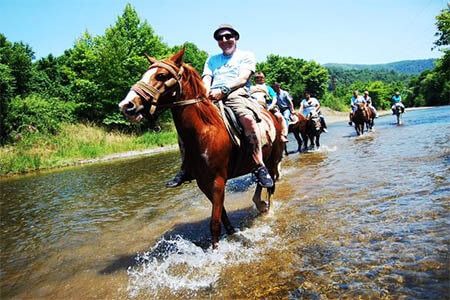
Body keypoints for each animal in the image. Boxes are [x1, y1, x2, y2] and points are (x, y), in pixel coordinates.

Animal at [118, 48, 284, 248]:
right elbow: (222, 215)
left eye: (161, 75)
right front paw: (231, 234)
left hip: (272, 160)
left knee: (270, 185)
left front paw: (215, 251)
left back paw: (267, 208)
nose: (126, 105)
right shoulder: (203, 182)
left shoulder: (218, 181)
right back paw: (259, 204)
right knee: (260, 182)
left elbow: (214, 223)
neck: (206, 131)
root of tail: (271, 115)